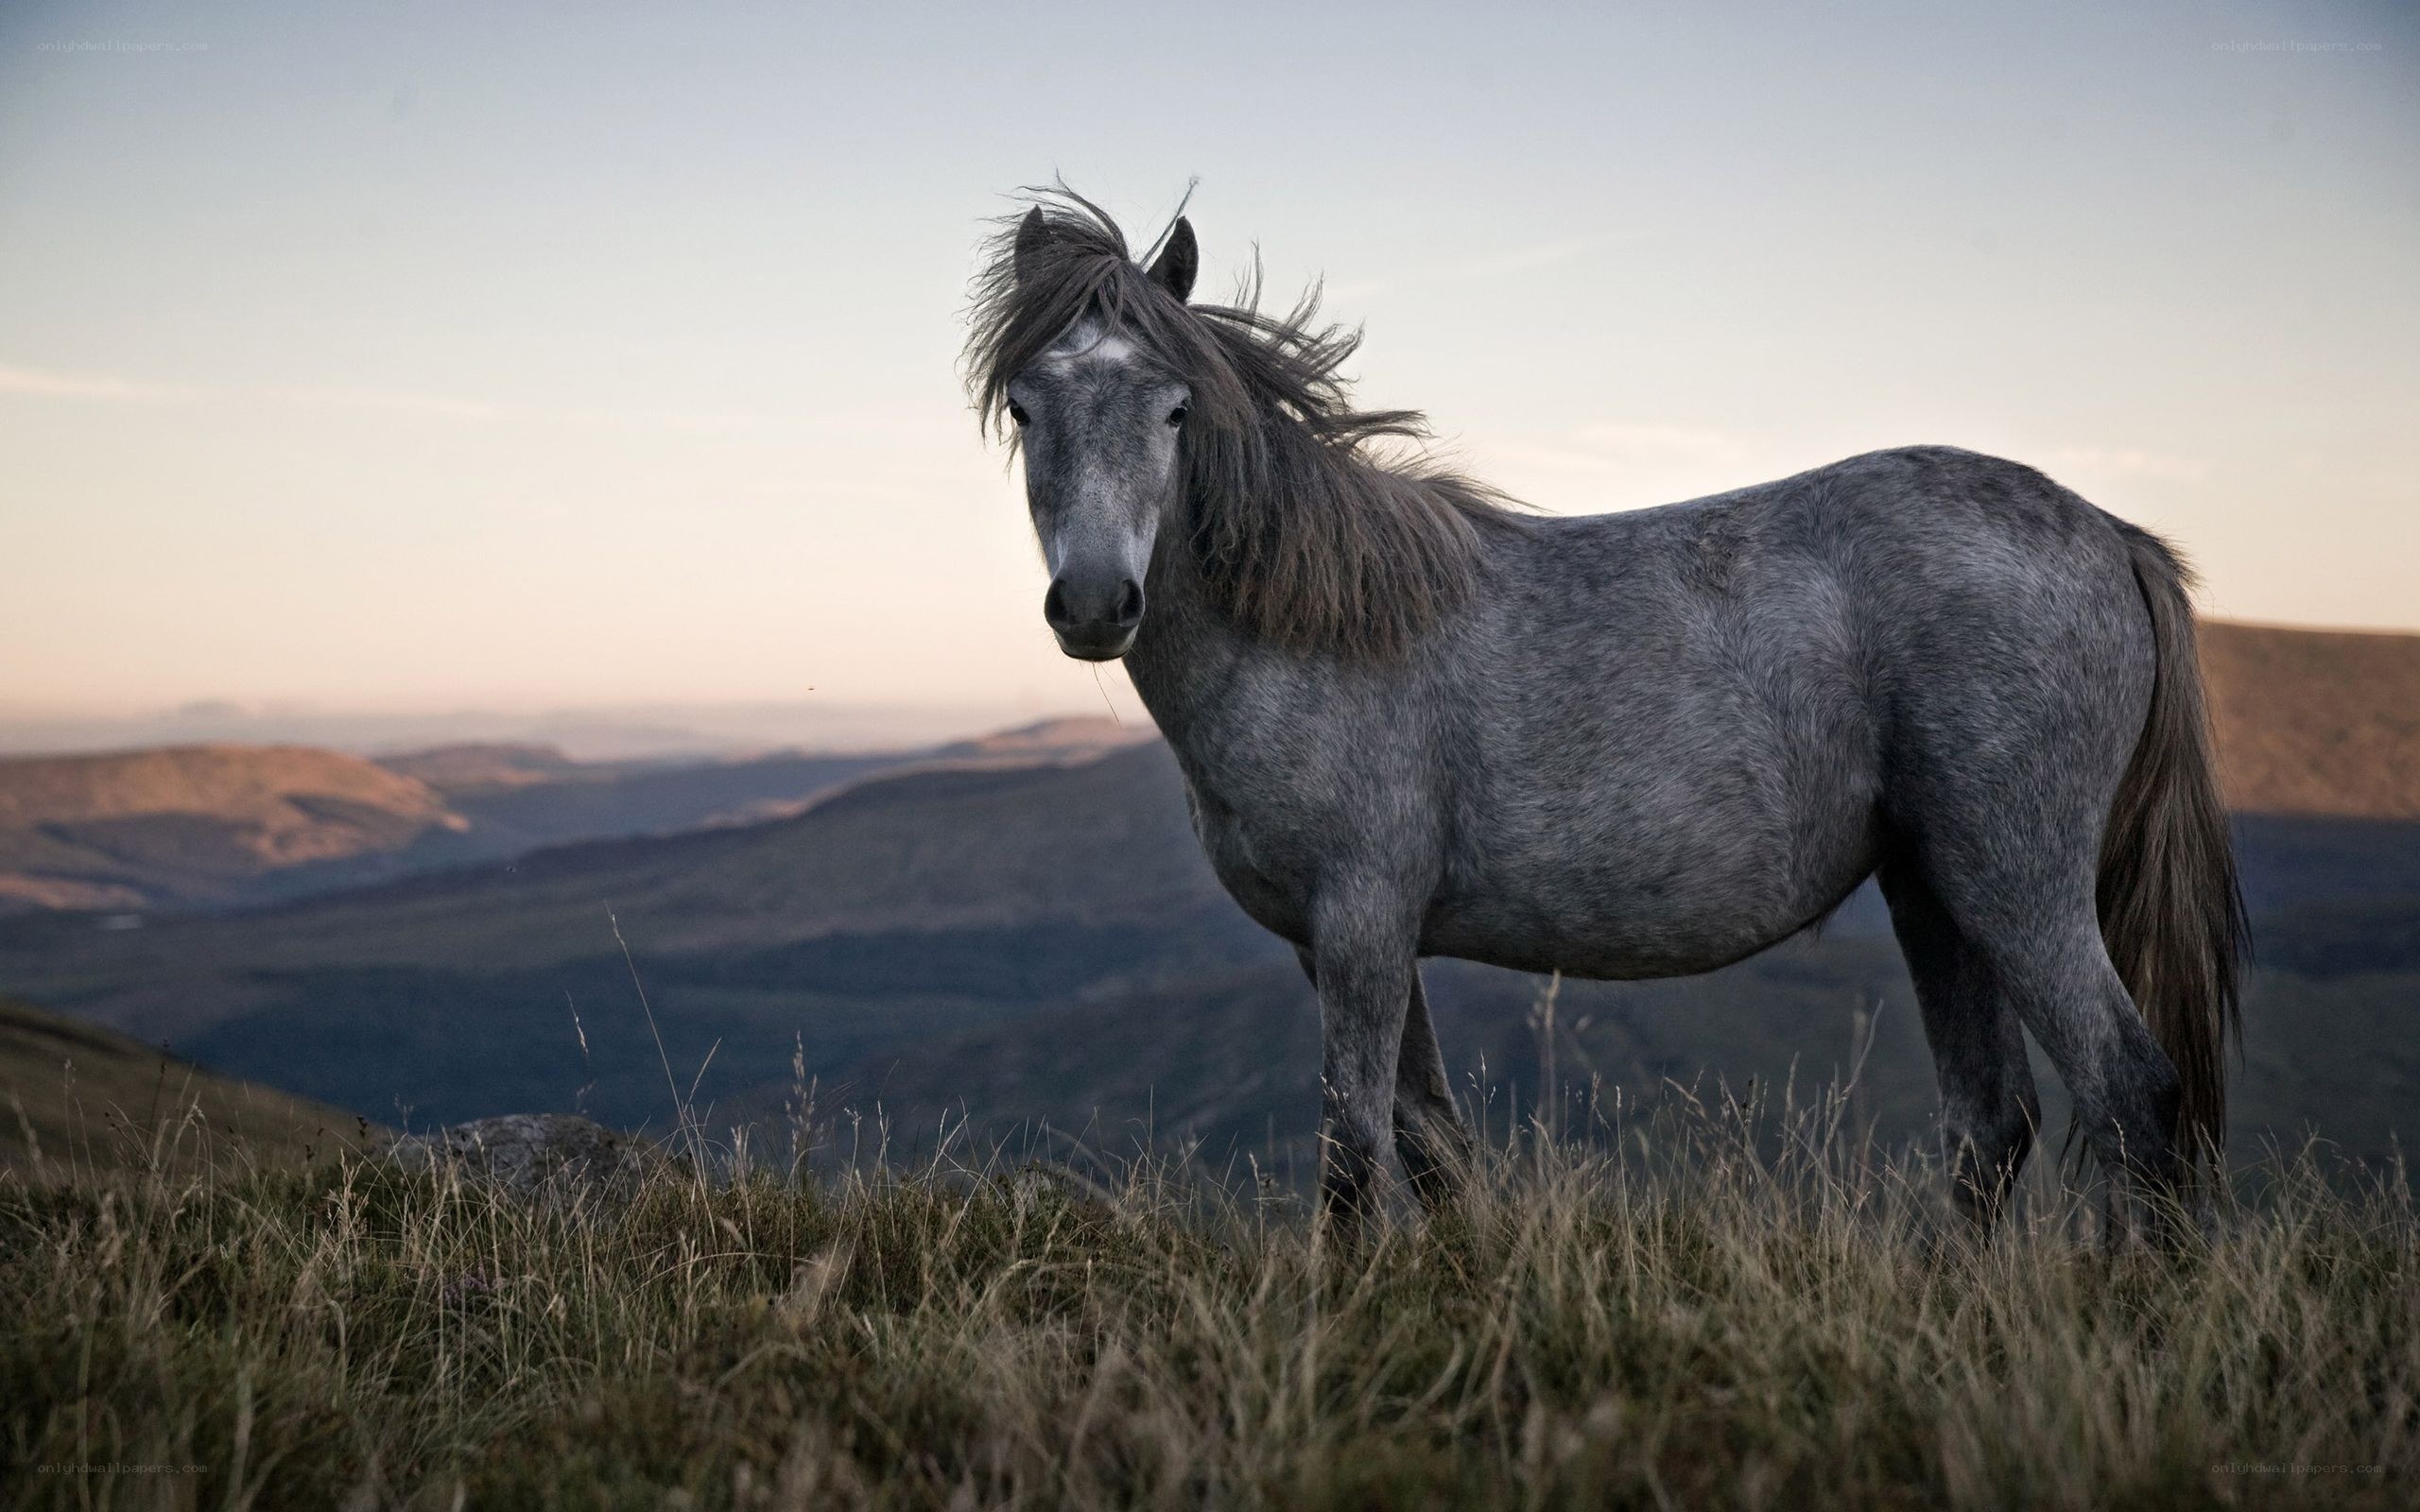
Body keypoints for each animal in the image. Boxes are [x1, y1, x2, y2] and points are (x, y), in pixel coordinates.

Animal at [963, 191, 2246, 1237]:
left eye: (1175, 408)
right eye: (1024, 406)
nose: (1095, 602)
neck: (1318, 629)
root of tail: (2111, 535)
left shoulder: (1363, 924)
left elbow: (1354, 1158)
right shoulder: (1337, 941)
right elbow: (1431, 1149)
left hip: (2016, 885)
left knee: (2131, 1091)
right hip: (1933, 889)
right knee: (1992, 1123)